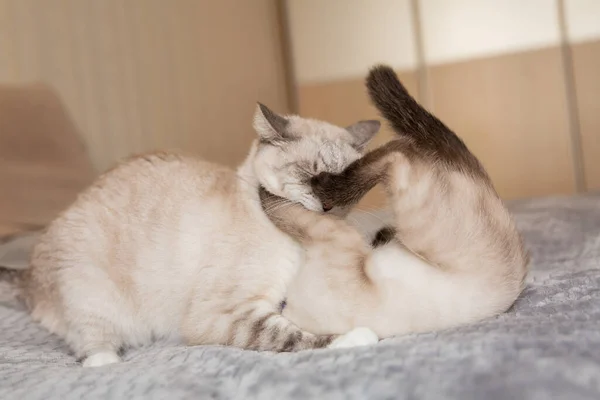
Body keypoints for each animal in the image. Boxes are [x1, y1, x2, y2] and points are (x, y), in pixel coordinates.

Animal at [0, 104, 380, 368]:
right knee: (91, 348)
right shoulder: (223, 315)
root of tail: (28, 274)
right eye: (308, 176)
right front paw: (359, 336)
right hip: (94, 296)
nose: (328, 207)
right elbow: (291, 335)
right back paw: (107, 362)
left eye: (347, 184)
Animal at [260, 65, 528, 338]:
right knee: (403, 150)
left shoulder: (331, 236)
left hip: (413, 213)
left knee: (395, 151)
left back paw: (329, 184)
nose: (379, 238)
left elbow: (284, 210)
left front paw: (267, 189)